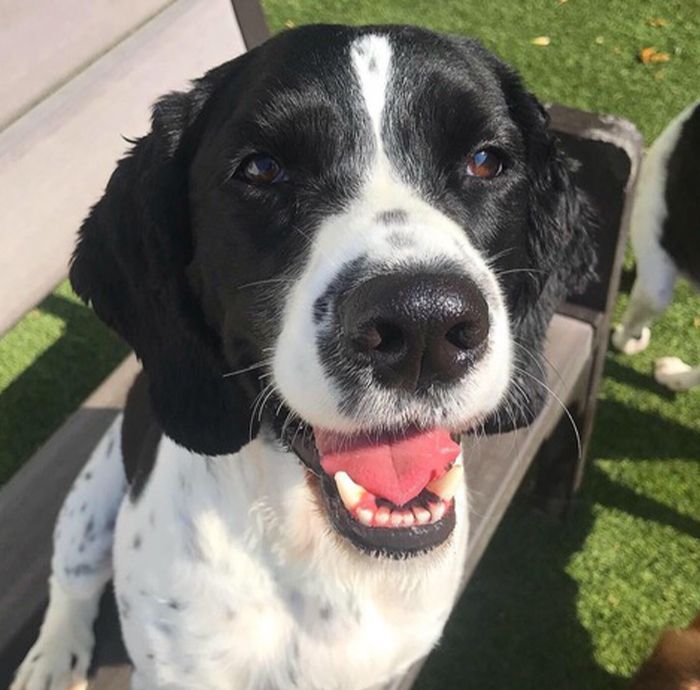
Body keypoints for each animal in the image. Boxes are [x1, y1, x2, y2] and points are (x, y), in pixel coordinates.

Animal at [12, 24, 592, 688]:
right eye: (262, 169)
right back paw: (53, 657)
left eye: (487, 160)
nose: (422, 322)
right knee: (73, 579)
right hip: (92, 494)